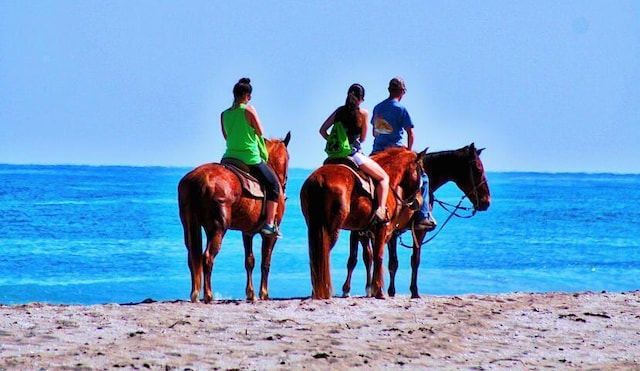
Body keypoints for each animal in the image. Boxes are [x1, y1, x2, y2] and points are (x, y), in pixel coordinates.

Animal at [179, 132, 292, 304]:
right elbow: (265, 262)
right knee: (207, 257)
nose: (284, 185)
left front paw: (251, 293)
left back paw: (195, 294)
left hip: (189, 226)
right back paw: (208, 295)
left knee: (193, 257)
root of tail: (198, 180)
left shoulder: (247, 232)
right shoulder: (270, 236)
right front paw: (264, 293)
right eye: (288, 158)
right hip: (218, 228)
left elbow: (249, 261)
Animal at [300, 147, 424, 300]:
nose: (419, 202)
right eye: (422, 172)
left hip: (315, 227)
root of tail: (319, 179)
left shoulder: (362, 231)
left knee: (317, 255)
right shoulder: (381, 228)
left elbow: (364, 257)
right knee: (323, 254)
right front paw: (378, 290)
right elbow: (378, 256)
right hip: (331, 229)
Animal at [342, 142, 492, 300]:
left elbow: (399, 261)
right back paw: (352, 289)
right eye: (478, 169)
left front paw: (392, 291)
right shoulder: (413, 231)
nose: (486, 202)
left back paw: (367, 288)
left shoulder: (393, 232)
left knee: (366, 256)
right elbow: (407, 261)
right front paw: (410, 291)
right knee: (358, 258)